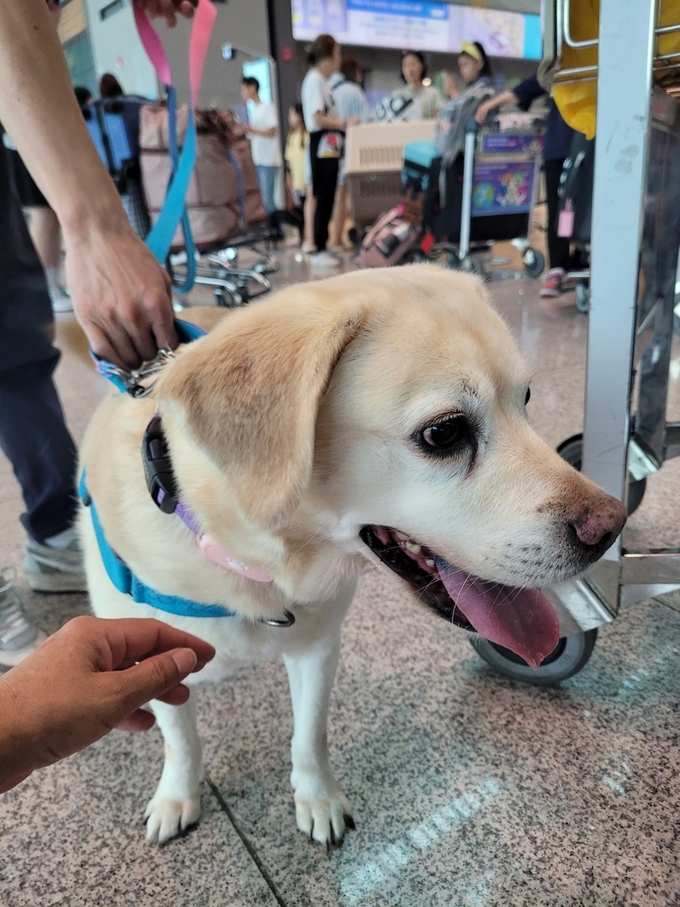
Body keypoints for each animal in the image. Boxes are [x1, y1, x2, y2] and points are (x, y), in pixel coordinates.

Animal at [79, 264, 627, 848]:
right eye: (444, 432)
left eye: (526, 398)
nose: (612, 527)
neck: (261, 570)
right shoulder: (156, 664)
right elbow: (181, 739)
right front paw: (177, 796)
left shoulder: (319, 646)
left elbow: (309, 734)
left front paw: (317, 799)